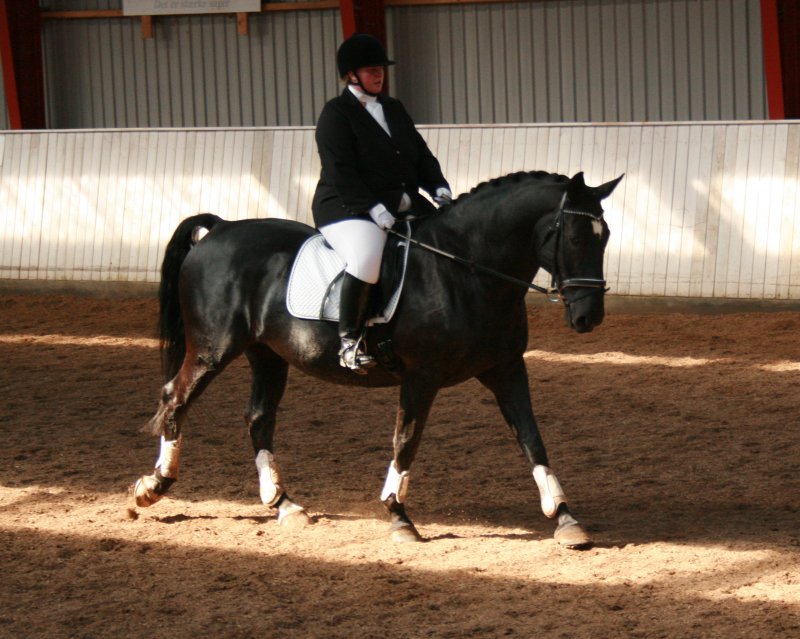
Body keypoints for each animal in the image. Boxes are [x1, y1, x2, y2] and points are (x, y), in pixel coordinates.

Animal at [133, 170, 623, 549]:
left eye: (605, 237)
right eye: (575, 236)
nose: (589, 317)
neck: (466, 271)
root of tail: (221, 228)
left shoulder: (506, 369)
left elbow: (532, 438)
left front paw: (565, 517)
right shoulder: (421, 377)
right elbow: (406, 441)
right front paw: (399, 517)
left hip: (267, 353)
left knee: (258, 417)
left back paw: (284, 504)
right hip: (213, 348)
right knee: (176, 399)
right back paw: (152, 487)